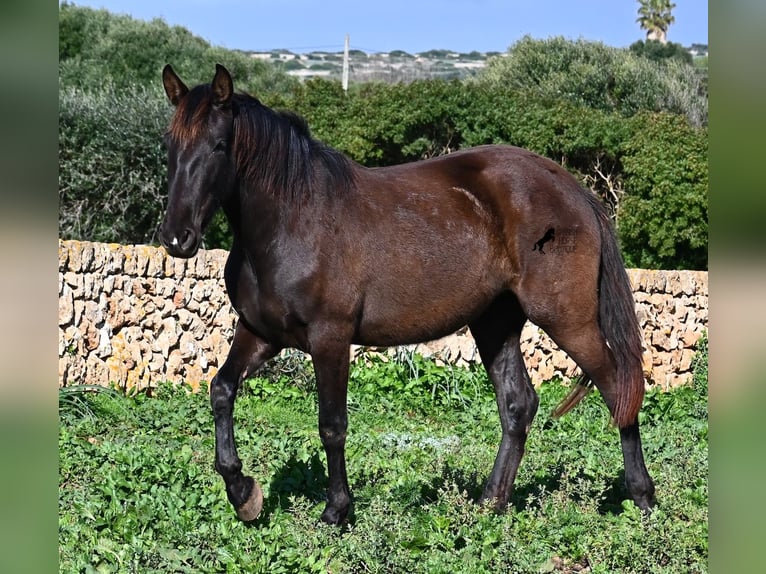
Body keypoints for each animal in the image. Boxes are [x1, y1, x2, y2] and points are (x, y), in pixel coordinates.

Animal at [159, 64, 656, 528]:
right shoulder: (261, 333)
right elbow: (221, 390)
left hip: (566, 318)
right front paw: (243, 492)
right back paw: (490, 503)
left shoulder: (330, 339)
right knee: (518, 404)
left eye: (219, 145)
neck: (291, 222)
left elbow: (332, 425)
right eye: (170, 146)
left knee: (619, 388)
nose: (176, 238)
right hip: (495, 323)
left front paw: (336, 511)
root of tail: (574, 190)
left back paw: (643, 499)